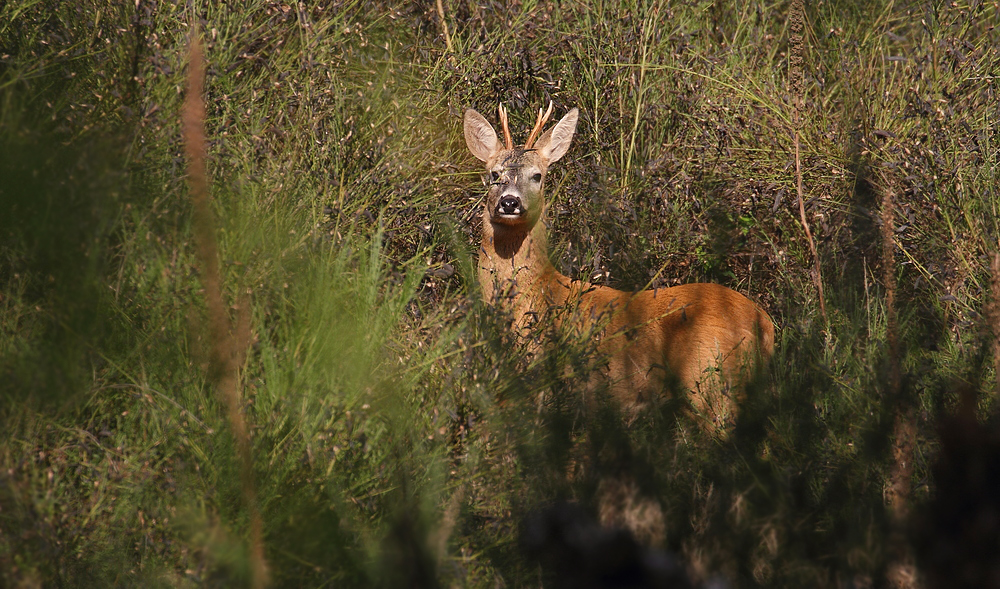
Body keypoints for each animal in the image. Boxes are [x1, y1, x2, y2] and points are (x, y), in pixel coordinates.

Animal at [464, 103, 776, 430]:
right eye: (494, 174)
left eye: (537, 175)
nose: (509, 202)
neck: (537, 294)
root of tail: (765, 323)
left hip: (710, 384)